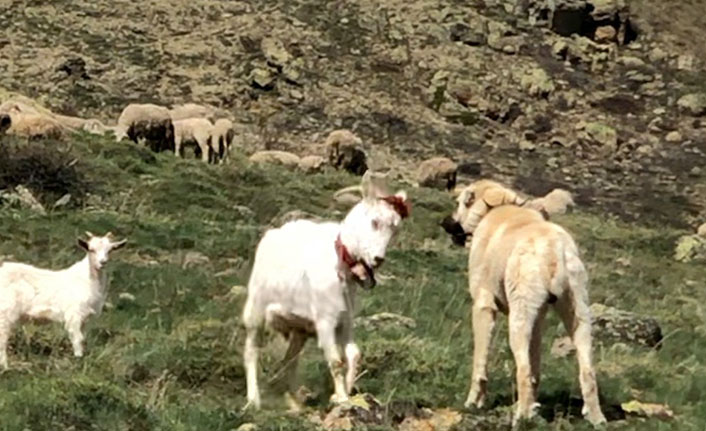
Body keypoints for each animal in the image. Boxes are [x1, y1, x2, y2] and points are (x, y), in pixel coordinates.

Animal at [0, 231, 126, 370]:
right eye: (91, 249)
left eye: (110, 250)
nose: (103, 262)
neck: (88, 280)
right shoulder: (74, 314)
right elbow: (77, 338)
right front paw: (78, 359)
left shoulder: (85, 319)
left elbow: (83, 338)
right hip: (5, 311)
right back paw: (5, 367)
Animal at [242, 170, 410, 410]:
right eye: (374, 222)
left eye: (395, 228)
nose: (378, 259)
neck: (340, 263)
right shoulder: (325, 321)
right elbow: (336, 361)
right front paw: (342, 398)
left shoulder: (345, 320)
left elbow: (353, 354)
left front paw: (345, 392)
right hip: (255, 310)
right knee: (251, 350)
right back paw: (254, 399)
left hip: (300, 328)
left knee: (290, 360)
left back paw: (294, 402)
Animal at [440, 180, 604, 428]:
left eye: (460, 202)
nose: (444, 223)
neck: (495, 209)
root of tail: (554, 249)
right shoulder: (539, 318)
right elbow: (536, 363)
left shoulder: (483, 306)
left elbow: (480, 362)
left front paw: (473, 402)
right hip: (577, 313)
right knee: (587, 371)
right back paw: (595, 418)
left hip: (520, 319)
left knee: (523, 370)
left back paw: (522, 416)